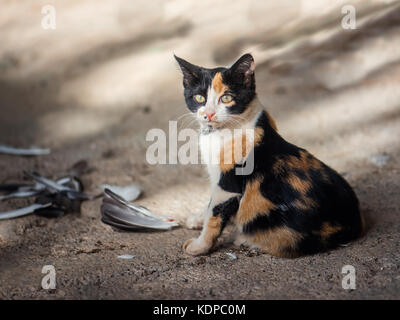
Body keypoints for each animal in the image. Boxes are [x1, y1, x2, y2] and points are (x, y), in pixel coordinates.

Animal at [174, 52, 362, 258]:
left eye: (226, 98)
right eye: (199, 98)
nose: (208, 114)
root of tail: (354, 223)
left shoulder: (228, 185)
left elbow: (214, 214)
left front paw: (199, 246)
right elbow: (209, 204)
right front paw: (197, 219)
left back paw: (244, 239)